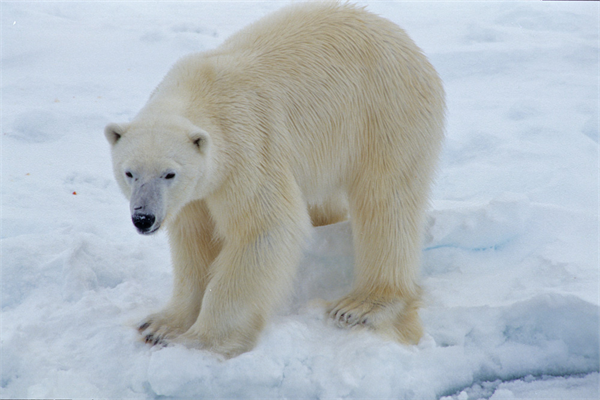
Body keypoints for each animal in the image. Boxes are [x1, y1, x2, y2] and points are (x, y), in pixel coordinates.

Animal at [104, 0, 446, 356]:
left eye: (169, 173)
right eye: (129, 172)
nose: (143, 217)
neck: (199, 91)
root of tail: (402, 38)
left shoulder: (245, 146)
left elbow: (262, 227)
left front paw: (202, 342)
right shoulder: (193, 195)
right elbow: (194, 240)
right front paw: (158, 326)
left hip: (386, 113)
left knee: (386, 202)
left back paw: (361, 306)